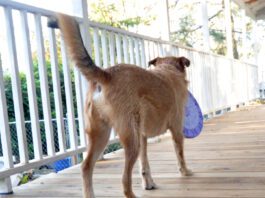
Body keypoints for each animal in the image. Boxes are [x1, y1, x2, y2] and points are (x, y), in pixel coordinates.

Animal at [56, 14, 192, 198]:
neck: (168, 68)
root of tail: (107, 74)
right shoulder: (176, 129)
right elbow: (180, 154)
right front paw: (185, 171)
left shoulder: (143, 135)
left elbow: (145, 164)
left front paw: (148, 183)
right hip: (130, 140)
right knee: (124, 180)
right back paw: (131, 194)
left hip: (101, 135)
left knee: (86, 167)